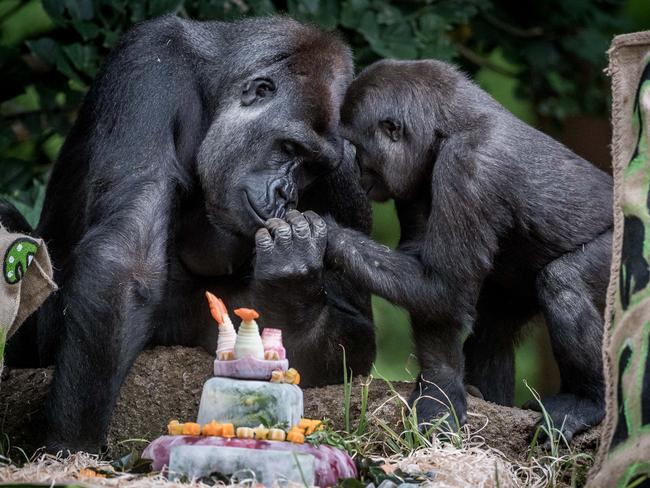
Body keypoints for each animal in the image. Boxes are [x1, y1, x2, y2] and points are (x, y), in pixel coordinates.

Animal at [3, 15, 374, 454]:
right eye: (288, 148)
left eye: (313, 167)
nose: (286, 193)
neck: (214, 86)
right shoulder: (149, 67)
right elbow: (127, 262)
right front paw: (71, 444)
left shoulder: (349, 164)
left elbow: (355, 334)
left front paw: (292, 291)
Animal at [326, 59, 612, 440]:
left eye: (358, 146)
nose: (357, 170)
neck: (446, 127)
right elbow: (430, 286)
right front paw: (441, 391)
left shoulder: (467, 168)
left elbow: (443, 286)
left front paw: (325, 235)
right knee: (494, 325)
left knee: (564, 284)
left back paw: (588, 400)